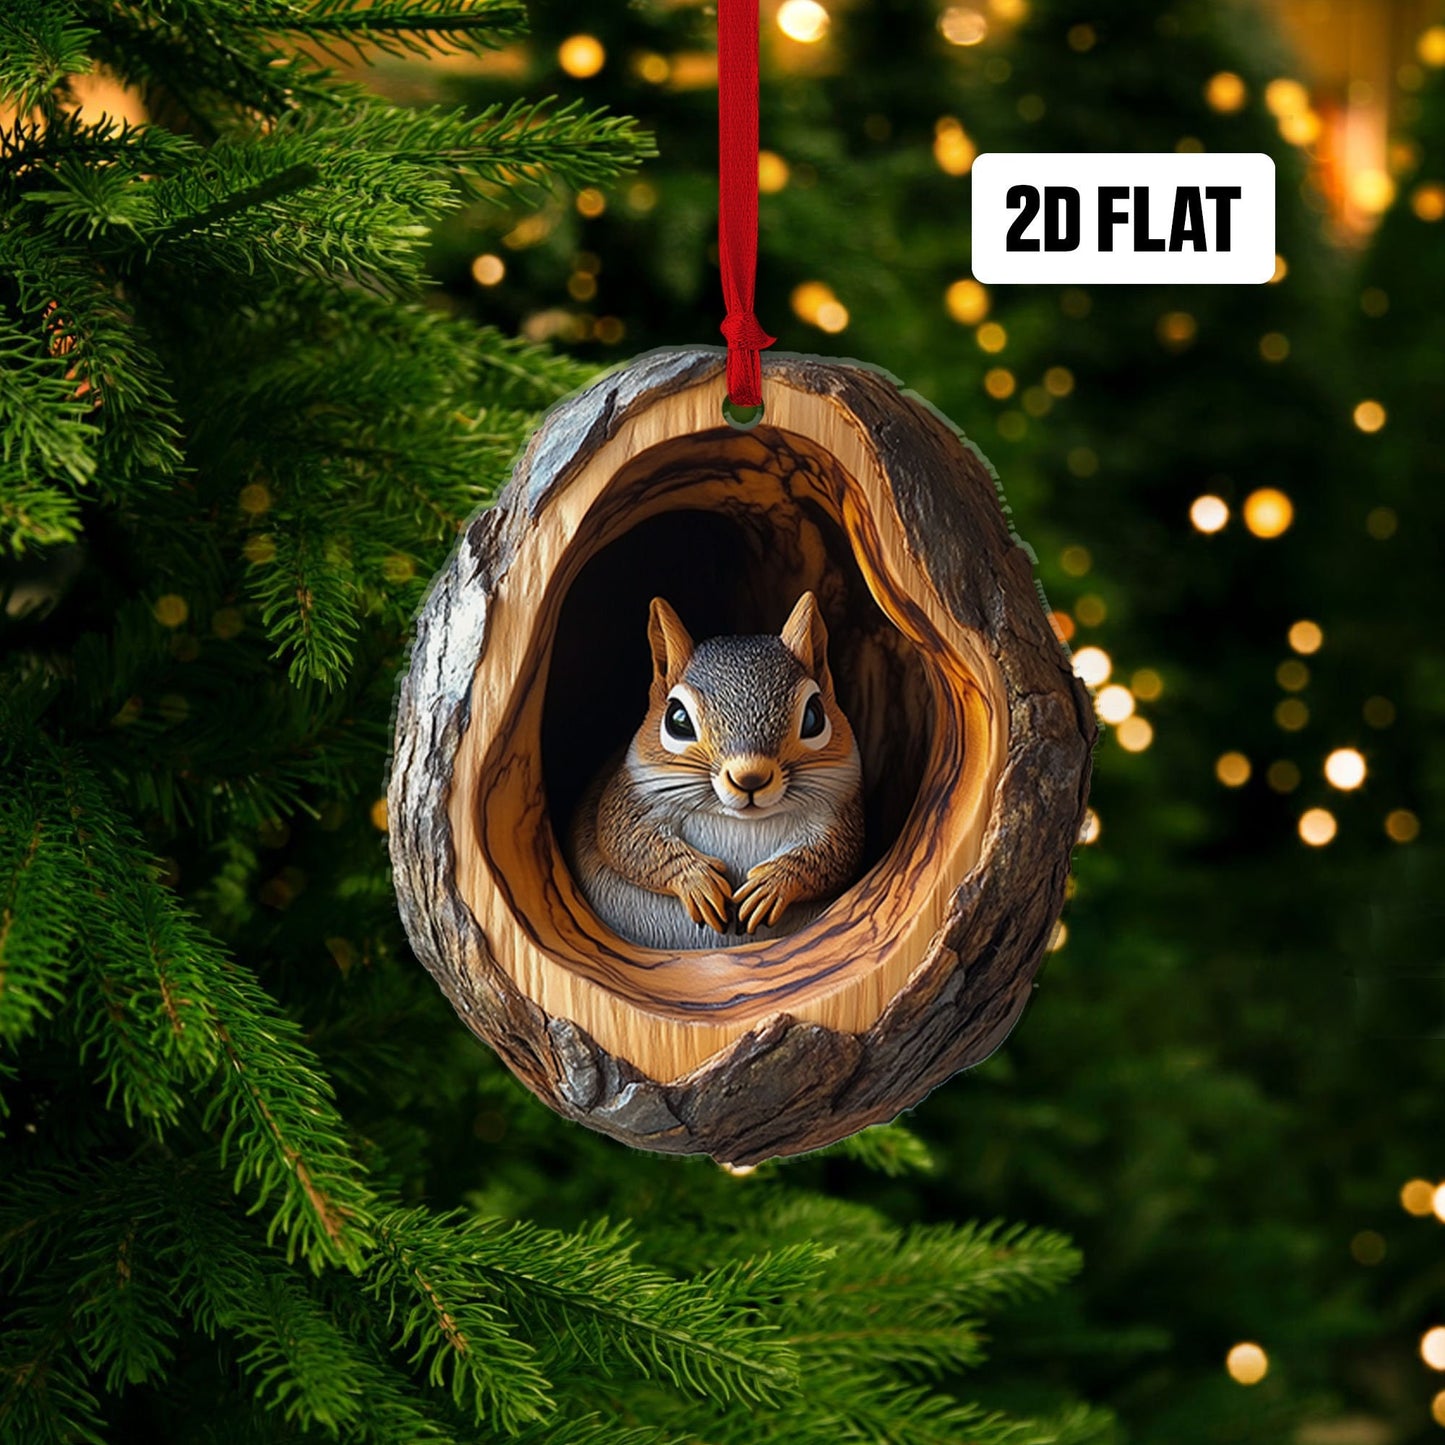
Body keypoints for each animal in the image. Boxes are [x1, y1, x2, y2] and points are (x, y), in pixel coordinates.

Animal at [568, 591, 865, 952]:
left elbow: (835, 854)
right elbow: (626, 840)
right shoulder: (630, 796)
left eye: (814, 717)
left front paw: (772, 884)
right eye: (677, 719)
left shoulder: (837, 812)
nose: (749, 777)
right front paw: (696, 880)